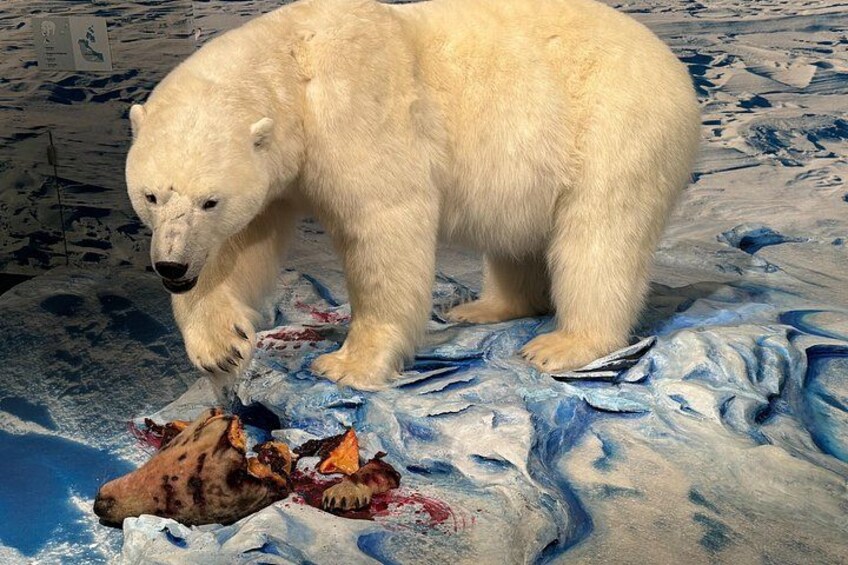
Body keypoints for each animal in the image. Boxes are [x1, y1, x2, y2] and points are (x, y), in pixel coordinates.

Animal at [125, 0, 700, 390]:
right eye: (151, 196)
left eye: (209, 200)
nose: (171, 267)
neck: (296, 63)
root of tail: (673, 64)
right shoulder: (279, 171)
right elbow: (239, 246)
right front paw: (220, 346)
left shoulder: (357, 111)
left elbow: (386, 225)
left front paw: (348, 364)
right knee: (516, 238)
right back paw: (484, 308)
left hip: (614, 124)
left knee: (599, 235)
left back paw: (564, 345)